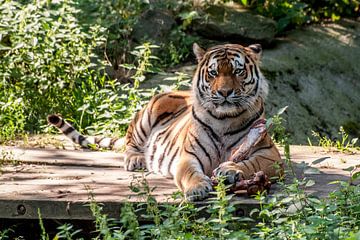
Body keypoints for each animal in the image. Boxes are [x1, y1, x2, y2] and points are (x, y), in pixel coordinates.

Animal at [48, 42, 284, 201]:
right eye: (213, 73)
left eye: (238, 71)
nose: (224, 92)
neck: (224, 119)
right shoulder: (188, 156)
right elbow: (190, 173)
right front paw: (197, 188)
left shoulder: (269, 153)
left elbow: (251, 163)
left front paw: (231, 169)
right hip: (147, 115)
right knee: (130, 141)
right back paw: (136, 159)